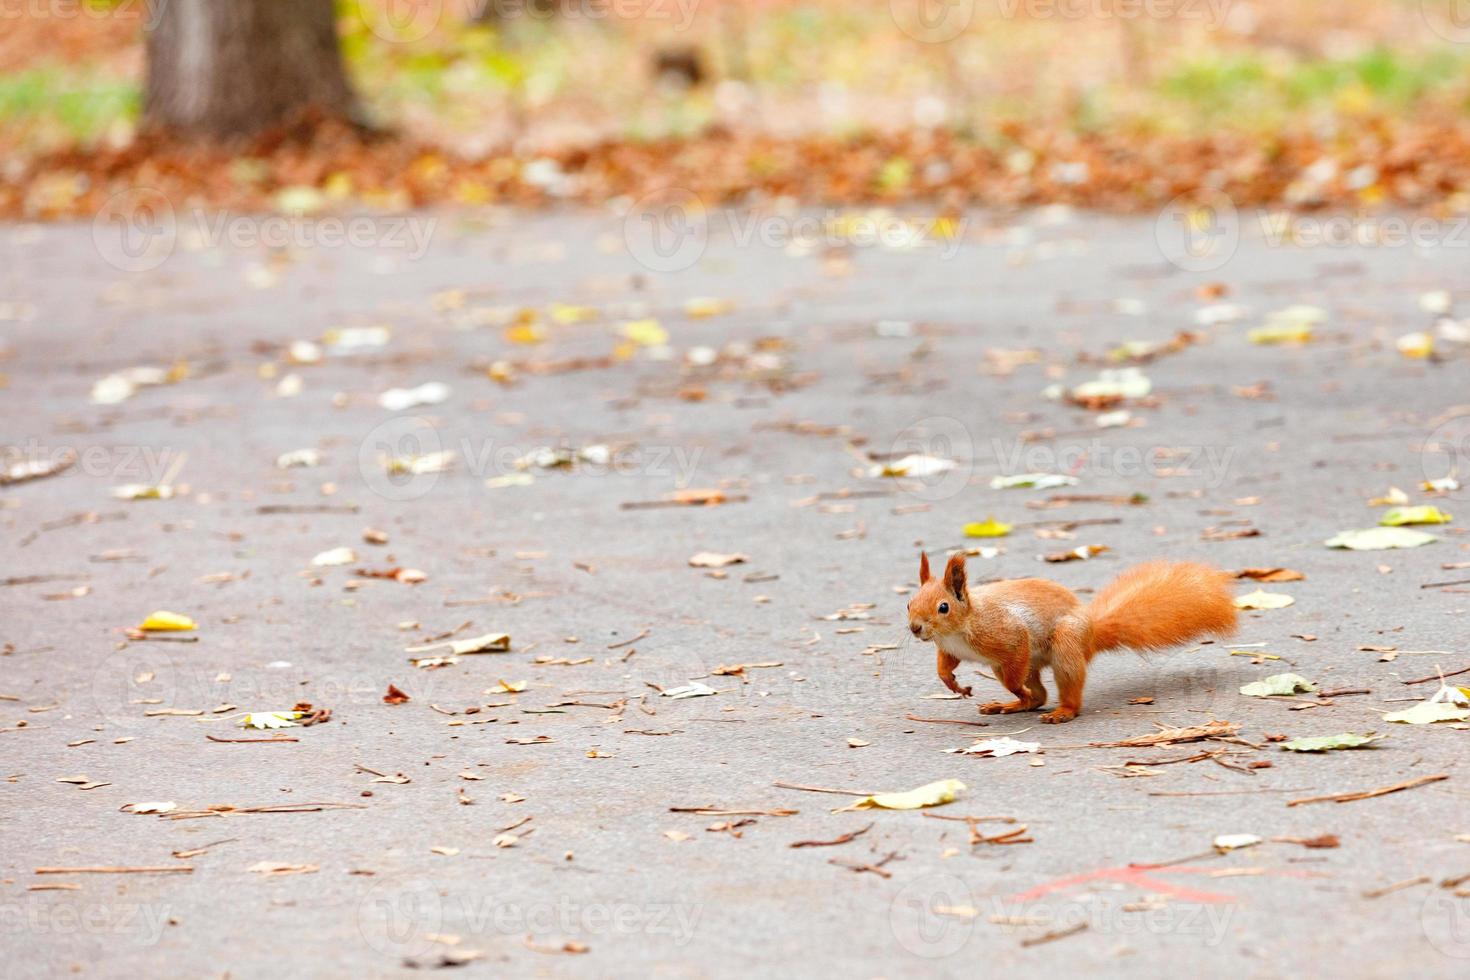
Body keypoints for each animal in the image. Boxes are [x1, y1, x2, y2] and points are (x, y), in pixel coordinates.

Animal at [905, 555, 1240, 725]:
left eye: (943, 607)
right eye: (908, 603)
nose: (915, 628)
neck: (958, 630)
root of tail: (1091, 631)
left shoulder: (1008, 635)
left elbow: (1016, 658)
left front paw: (1017, 690)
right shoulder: (949, 648)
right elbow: (945, 665)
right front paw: (950, 682)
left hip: (1065, 645)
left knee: (1061, 690)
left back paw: (1060, 710)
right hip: (1028, 664)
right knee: (1039, 696)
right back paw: (1010, 705)